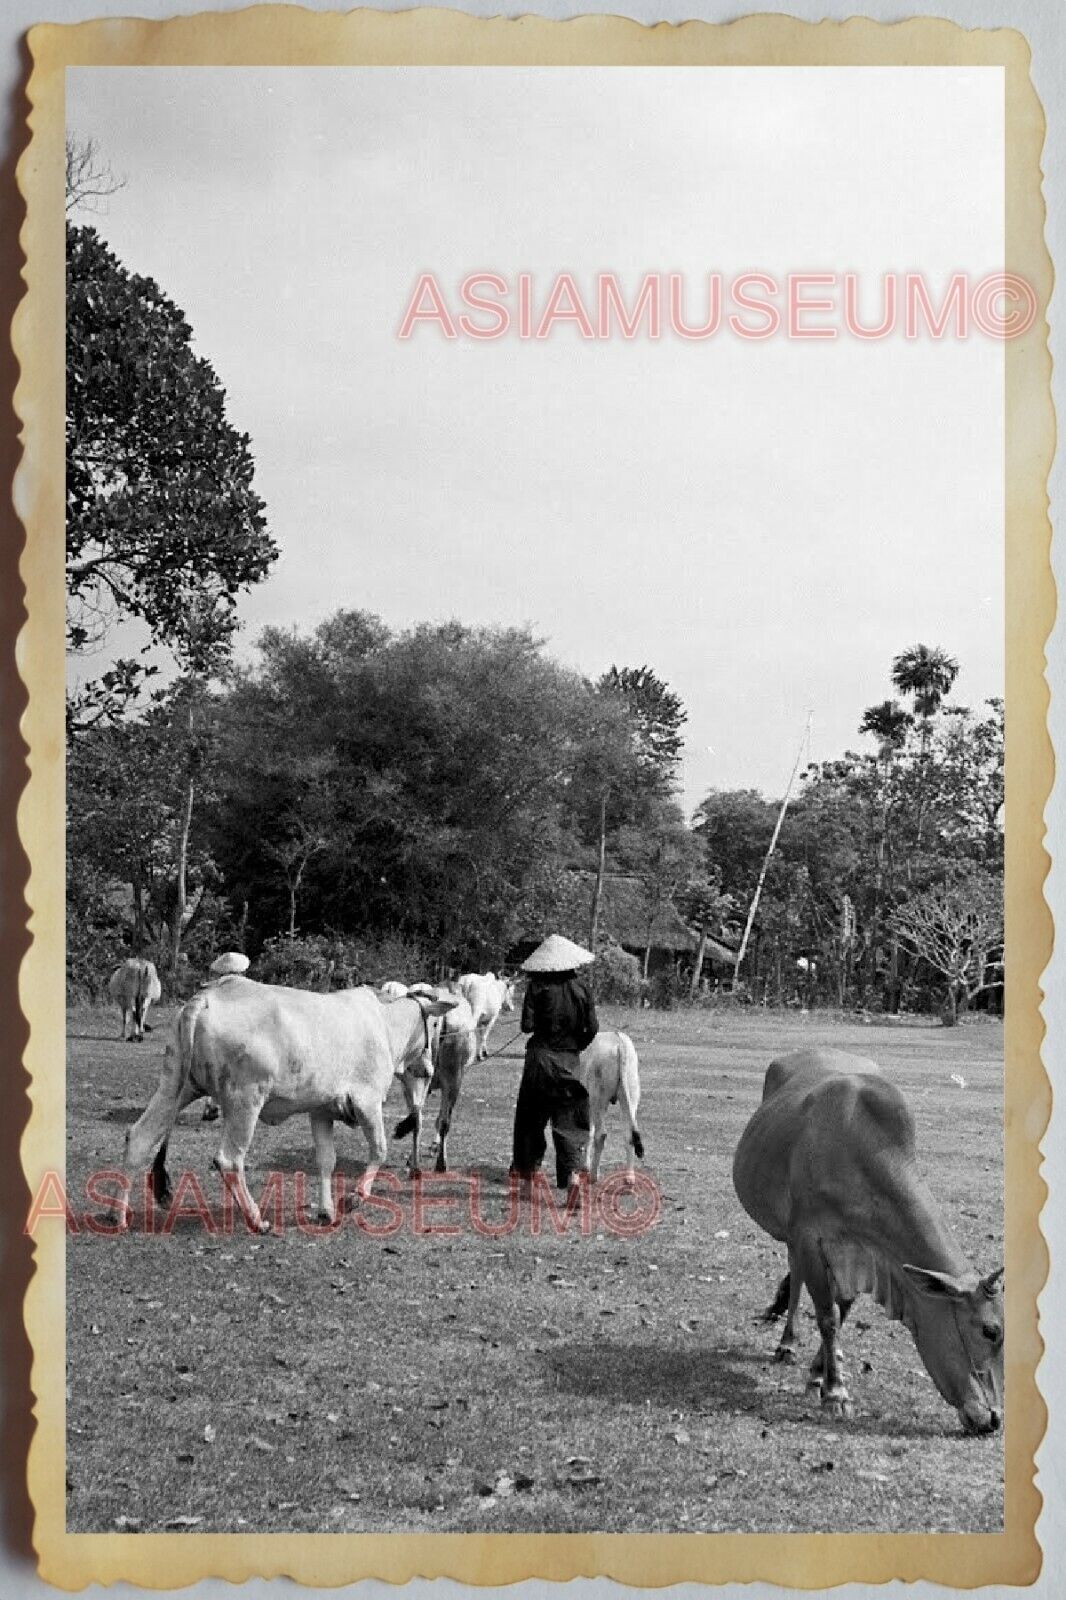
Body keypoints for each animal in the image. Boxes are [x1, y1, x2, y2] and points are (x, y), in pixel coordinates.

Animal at [119, 966, 451, 1228]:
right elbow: (380, 1150)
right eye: (435, 1024)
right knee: (229, 1160)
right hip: (245, 1099)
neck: (384, 1022)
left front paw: (327, 1211)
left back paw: (118, 1216)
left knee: (139, 1138)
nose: (429, 1068)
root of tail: (210, 995)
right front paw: (354, 1198)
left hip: (175, 1084)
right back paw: (256, 1219)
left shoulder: (321, 1110)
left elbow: (326, 1160)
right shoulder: (366, 1102)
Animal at [576, 1030, 643, 1184]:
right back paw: (629, 1177)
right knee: (629, 1134)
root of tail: (619, 1042)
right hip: (629, 1096)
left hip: (598, 1099)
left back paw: (594, 1175)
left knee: (601, 1134)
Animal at [729, 1049, 1005, 1440]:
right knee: (795, 1280)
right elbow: (828, 1317)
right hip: (790, 1237)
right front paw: (836, 1393)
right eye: (990, 1331)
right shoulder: (809, 1239)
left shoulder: (863, 1257)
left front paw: (820, 1377)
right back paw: (787, 1343)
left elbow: (840, 1313)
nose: (994, 1420)